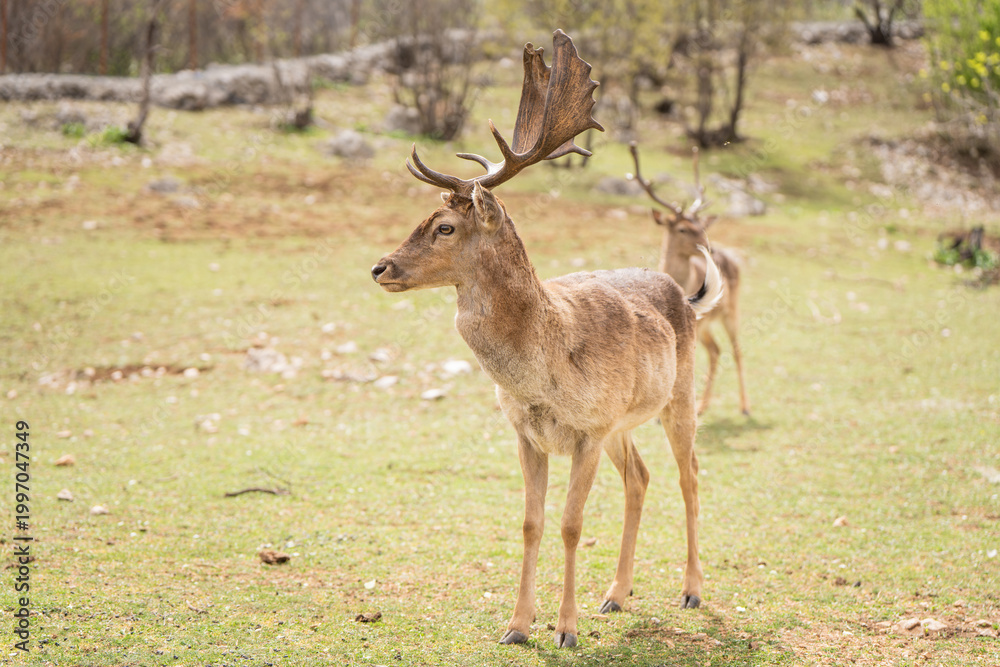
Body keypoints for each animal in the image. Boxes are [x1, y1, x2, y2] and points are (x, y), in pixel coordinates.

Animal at [371, 31, 723, 649]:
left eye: (445, 226)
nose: (380, 267)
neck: (542, 373)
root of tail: (687, 295)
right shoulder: (529, 433)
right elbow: (531, 523)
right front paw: (516, 626)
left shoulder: (587, 431)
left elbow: (570, 524)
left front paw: (565, 629)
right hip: (622, 423)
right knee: (640, 477)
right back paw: (615, 595)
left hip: (676, 400)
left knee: (690, 475)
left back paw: (691, 590)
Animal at [628, 143, 750, 416]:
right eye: (682, 228)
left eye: (701, 225)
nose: (708, 247)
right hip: (708, 325)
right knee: (716, 351)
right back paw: (703, 406)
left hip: (732, 310)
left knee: (736, 350)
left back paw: (744, 406)